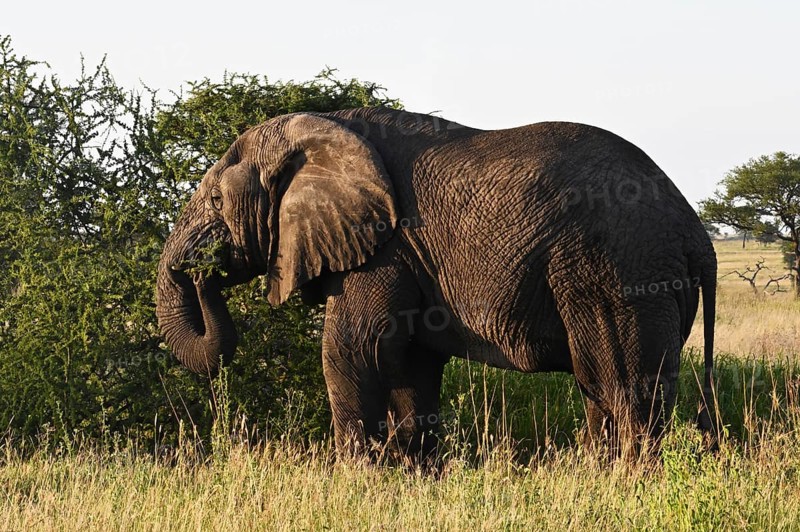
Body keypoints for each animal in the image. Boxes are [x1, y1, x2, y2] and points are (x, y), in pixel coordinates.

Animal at [156, 107, 717, 460]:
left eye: (215, 202)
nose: (202, 269)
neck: (318, 129)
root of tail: (695, 231)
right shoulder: (408, 257)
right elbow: (409, 365)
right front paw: (412, 479)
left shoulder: (387, 247)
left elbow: (351, 352)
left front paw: (359, 481)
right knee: (611, 392)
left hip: (616, 272)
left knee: (621, 389)